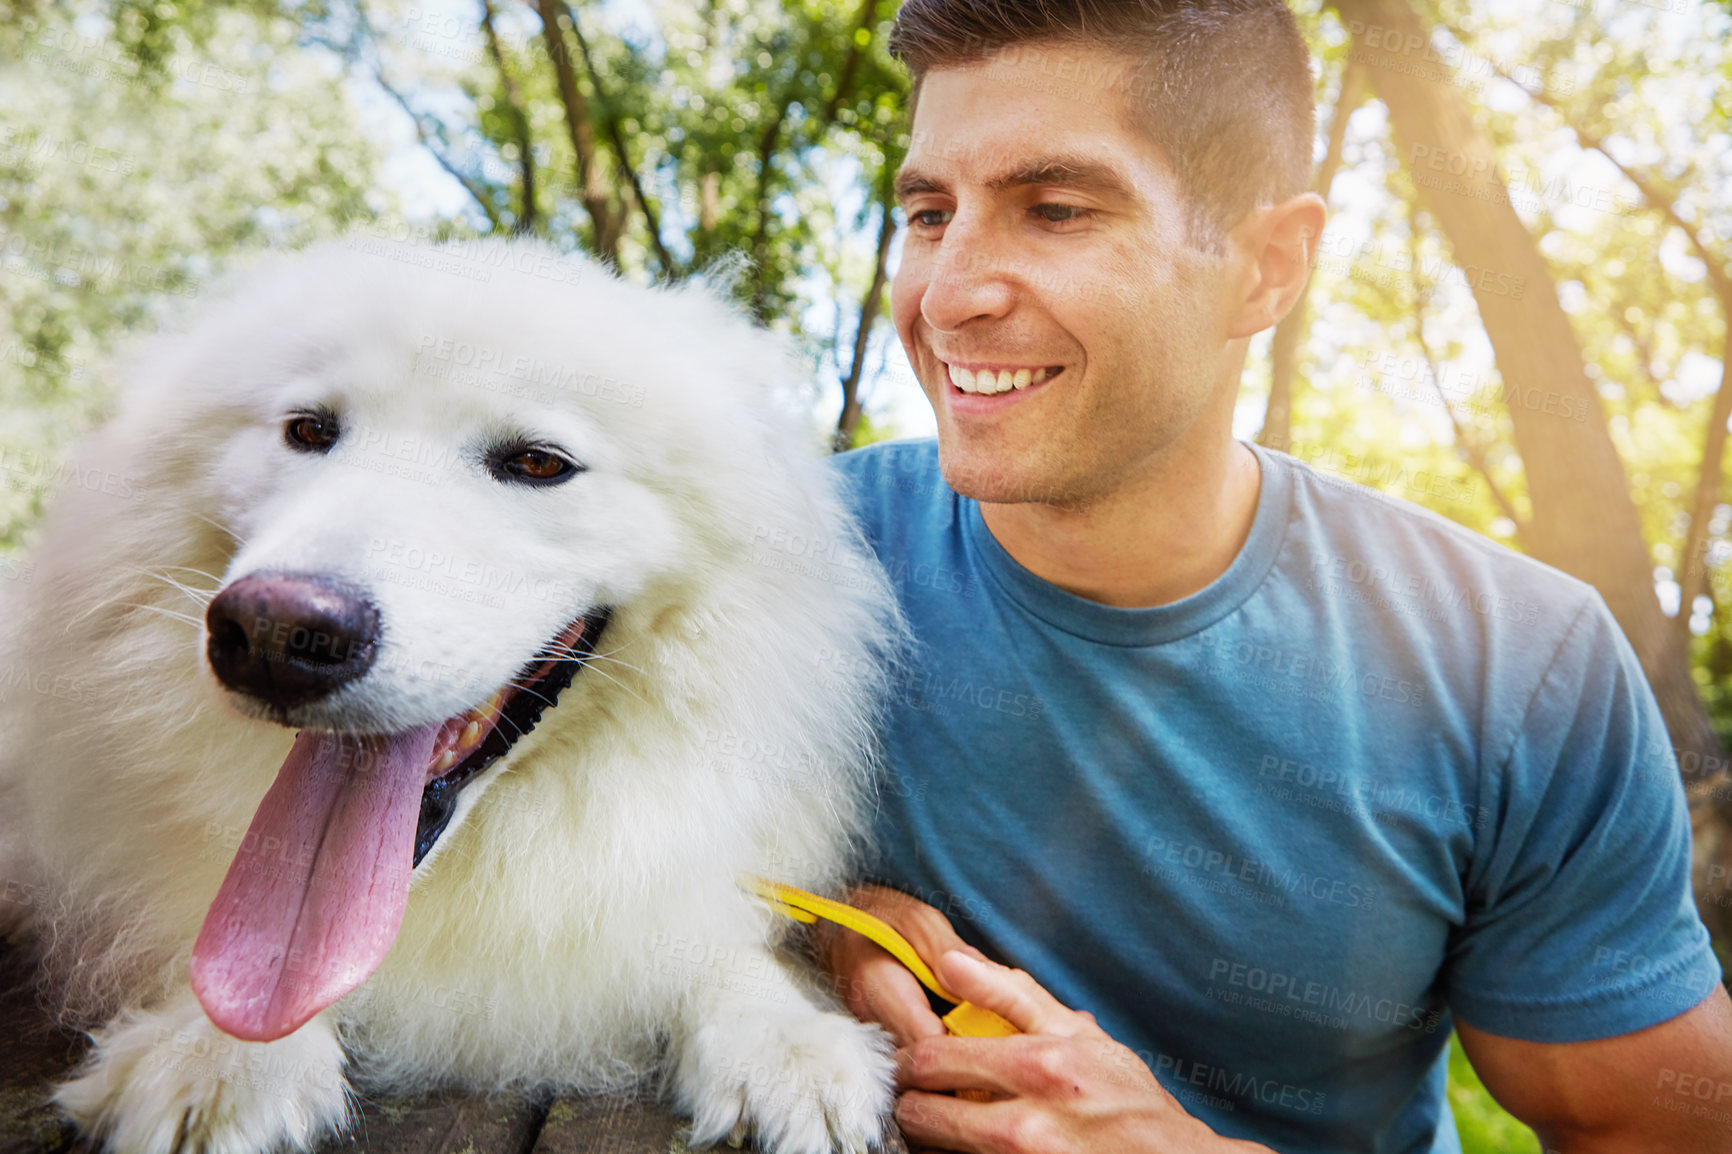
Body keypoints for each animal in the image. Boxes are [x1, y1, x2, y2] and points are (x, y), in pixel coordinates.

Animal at [3, 235, 907, 1150]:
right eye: (309, 431)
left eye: (539, 463)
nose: (274, 635)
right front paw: (216, 1049)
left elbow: (709, 938)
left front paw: (781, 1038)